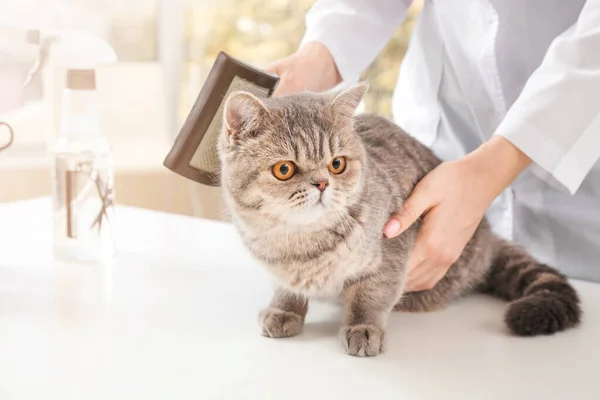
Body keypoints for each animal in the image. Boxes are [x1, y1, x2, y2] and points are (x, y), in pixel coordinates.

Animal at [216, 81, 580, 356]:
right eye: (284, 169)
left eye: (337, 164)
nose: (322, 183)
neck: (300, 243)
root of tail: (490, 238)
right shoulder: (276, 268)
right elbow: (286, 290)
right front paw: (283, 311)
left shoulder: (390, 256)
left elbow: (370, 297)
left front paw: (363, 328)